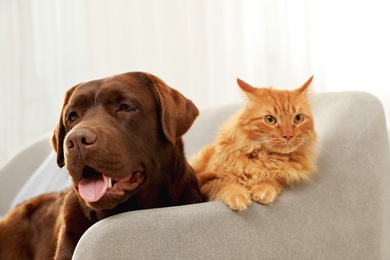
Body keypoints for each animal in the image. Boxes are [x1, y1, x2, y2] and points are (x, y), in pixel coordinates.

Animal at [190, 76, 318, 210]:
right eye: (270, 120)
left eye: (298, 118)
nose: (288, 135)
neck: (264, 156)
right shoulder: (204, 181)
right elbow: (223, 184)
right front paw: (236, 195)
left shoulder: (282, 176)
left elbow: (274, 179)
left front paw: (264, 189)